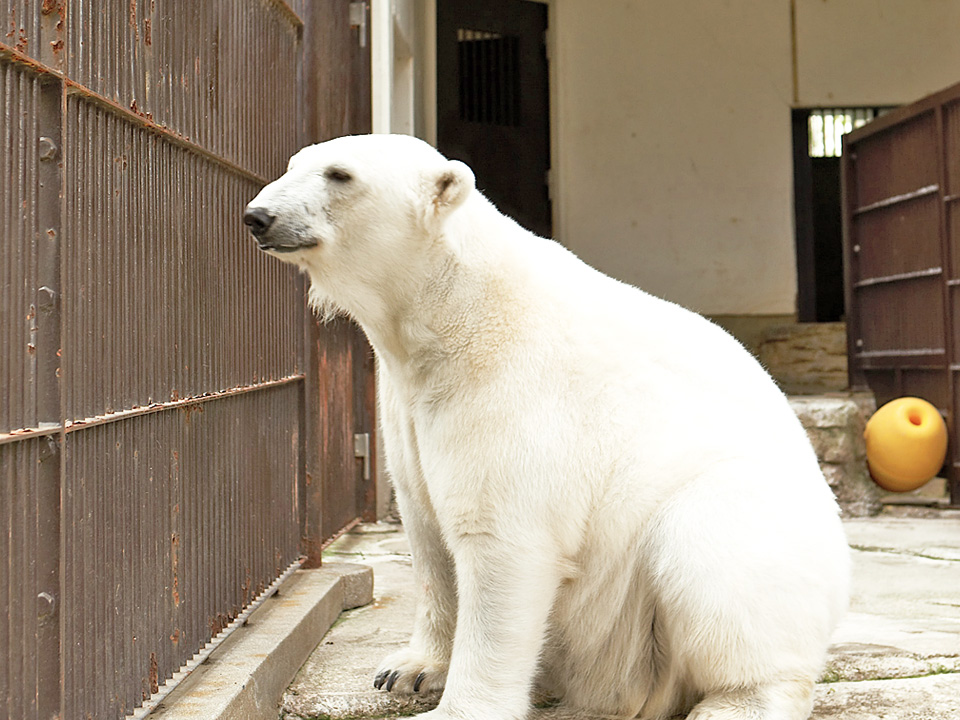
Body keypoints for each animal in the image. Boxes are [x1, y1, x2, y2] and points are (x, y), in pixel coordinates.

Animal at [246, 135, 848, 720]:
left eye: (340, 174)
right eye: (292, 163)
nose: (258, 216)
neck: (452, 309)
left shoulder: (515, 394)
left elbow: (499, 542)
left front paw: (456, 709)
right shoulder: (406, 407)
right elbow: (427, 536)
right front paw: (408, 670)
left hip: (741, 523)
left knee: (711, 557)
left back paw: (735, 702)